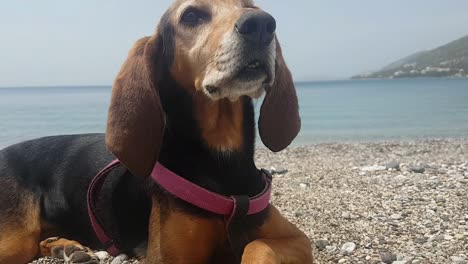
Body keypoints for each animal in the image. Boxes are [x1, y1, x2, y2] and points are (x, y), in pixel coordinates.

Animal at [0, 0, 314, 264]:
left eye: (251, 6)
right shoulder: (169, 258)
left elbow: (258, 246)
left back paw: (65, 247)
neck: (223, 162)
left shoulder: (295, 239)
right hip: (14, 241)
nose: (262, 23)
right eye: (191, 15)